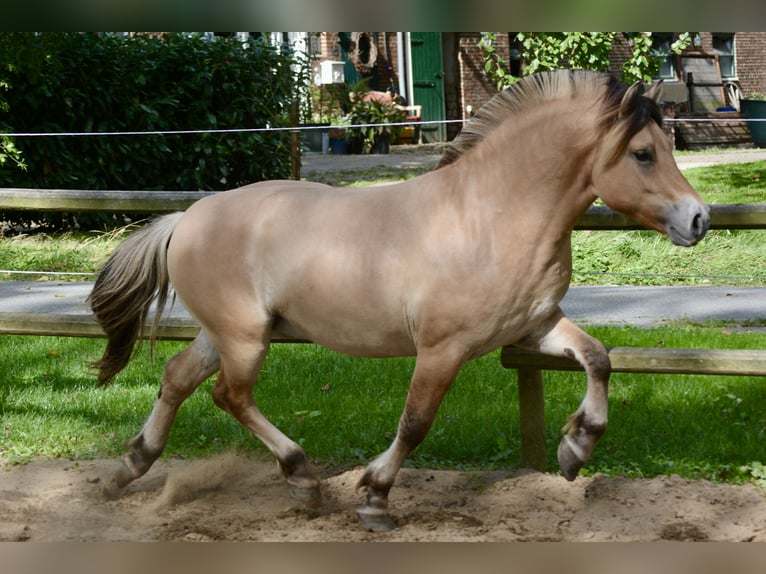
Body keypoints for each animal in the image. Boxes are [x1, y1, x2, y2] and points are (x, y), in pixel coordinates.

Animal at [87, 70, 712, 532]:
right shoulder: (442, 348)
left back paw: (129, 468)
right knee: (229, 395)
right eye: (643, 154)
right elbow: (415, 423)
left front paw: (575, 449)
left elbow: (598, 358)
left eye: (667, 146)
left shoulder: (534, 328)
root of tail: (185, 218)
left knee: (177, 377)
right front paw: (374, 497)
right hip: (244, 339)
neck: (489, 215)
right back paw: (303, 477)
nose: (699, 219)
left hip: (227, 334)